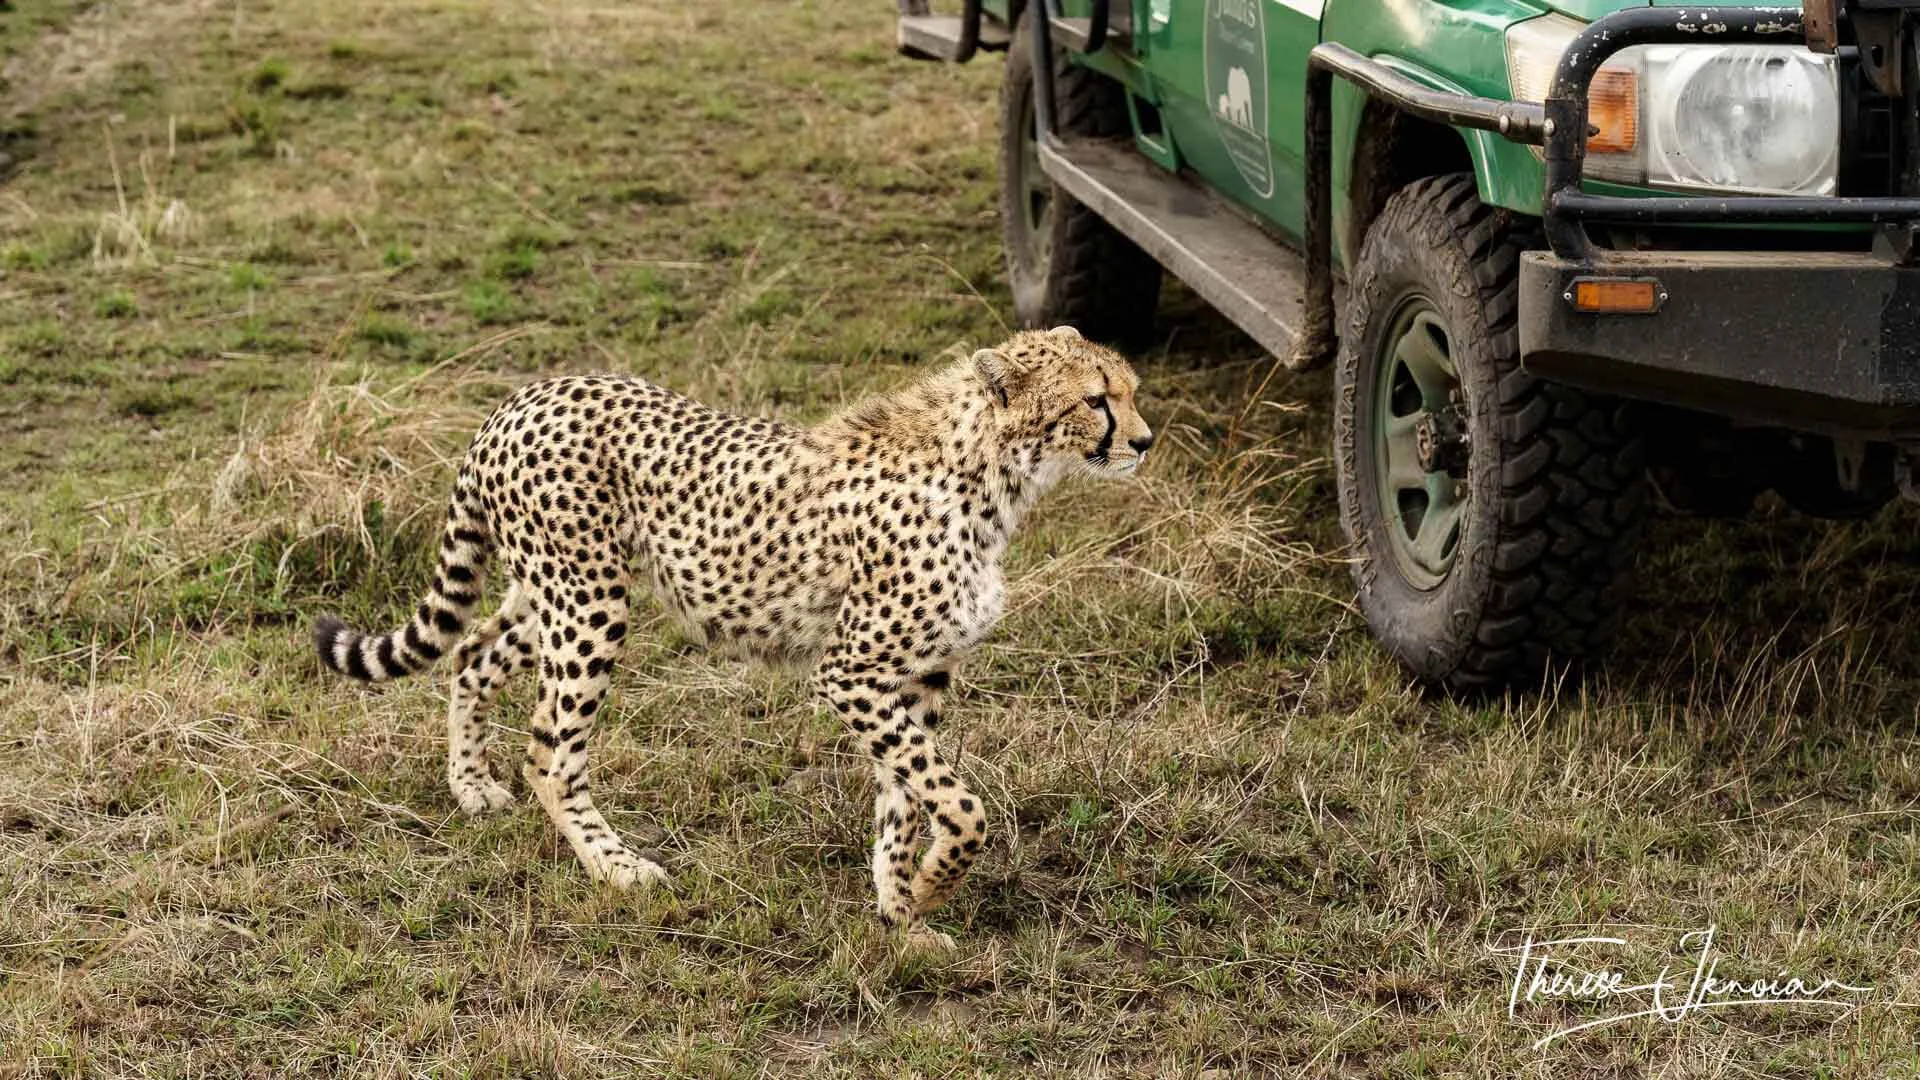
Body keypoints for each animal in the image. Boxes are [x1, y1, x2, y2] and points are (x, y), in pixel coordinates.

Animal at [312, 325, 1153, 942]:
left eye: (1132, 391)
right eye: (1095, 399)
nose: (1144, 442)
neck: (993, 472)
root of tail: (523, 397)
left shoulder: (916, 677)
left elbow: (906, 803)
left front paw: (902, 910)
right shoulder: (851, 671)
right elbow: (960, 804)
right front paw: (929, 888)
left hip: (555, 592)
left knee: (470, 653)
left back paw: (470, 785)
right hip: (588, 605)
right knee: (549, 750)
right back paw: (615, 867)